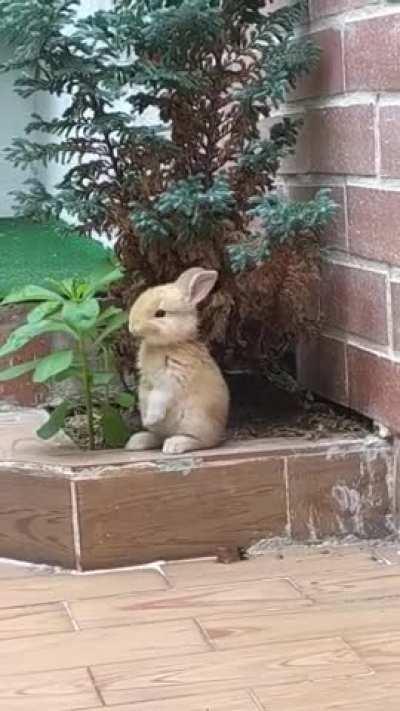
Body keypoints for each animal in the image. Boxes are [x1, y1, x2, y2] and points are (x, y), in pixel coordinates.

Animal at [125, 267, 230, 455]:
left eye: (160, 313)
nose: (132, 328)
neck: (167, 344)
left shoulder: (172, 377)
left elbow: (160, 396)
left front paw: (150, 418)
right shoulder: (147, 381)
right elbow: (146, 393)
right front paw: (145, 419)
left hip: (194, 420)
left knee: (202, 441)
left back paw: (174, 445)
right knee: (158, 437)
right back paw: (137, 441)